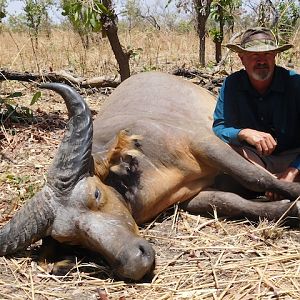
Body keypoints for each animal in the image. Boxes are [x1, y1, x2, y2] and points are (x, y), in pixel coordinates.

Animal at [0, 71, 300, 280]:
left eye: (95, 194)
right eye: (70, 240)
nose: (135, 262)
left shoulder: (205, 143)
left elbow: (255, 176)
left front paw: (294, 195)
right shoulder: (190, 198)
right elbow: (231, 203)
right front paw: (287, 208)